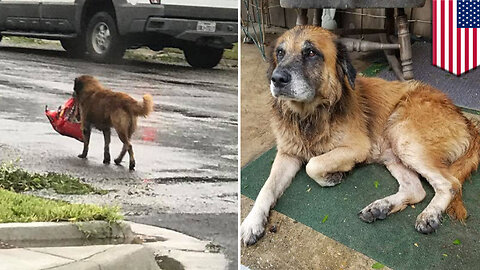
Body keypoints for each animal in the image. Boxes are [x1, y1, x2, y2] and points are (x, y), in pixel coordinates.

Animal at [242, 24, 478, 245]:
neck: (309, 117)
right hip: (393, 152)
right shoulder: (287, 154)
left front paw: (333, 176)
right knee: (416, 189)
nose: (276, 79)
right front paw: (252, 222)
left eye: (310, 52)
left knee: (449, 184)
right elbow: (267, 187)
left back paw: (430, 215)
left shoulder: (358, 147)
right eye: (280, 53)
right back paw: (381, 207)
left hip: (404, 137)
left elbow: (314, 164)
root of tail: (465, 119)